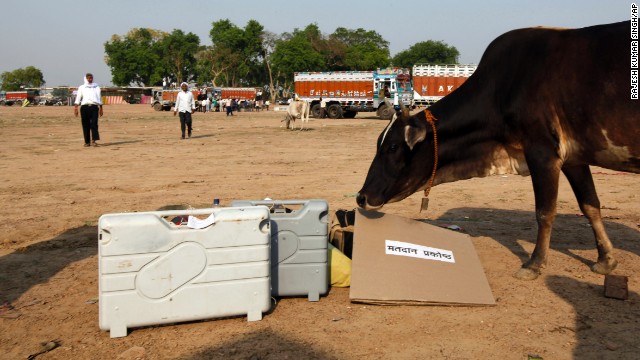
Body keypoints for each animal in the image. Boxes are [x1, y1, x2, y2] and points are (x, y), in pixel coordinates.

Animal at [356, 21, 640, 282]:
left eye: (393, 147)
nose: (361, 197)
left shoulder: (542, 152)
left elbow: (545, 212)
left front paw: (533, 264)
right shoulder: (573, 158)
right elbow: (590, 204)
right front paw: (606, 260)